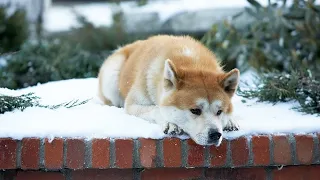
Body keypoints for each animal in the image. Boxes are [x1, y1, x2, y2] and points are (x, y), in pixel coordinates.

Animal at [97, 35, 240, 146]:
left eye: (219, 111)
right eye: (195, 110)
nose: (216, 135)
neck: (192, 63)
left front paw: (230, 121)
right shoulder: (132, 105)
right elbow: (156, 109)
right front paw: (170, 124)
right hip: (111, 77)